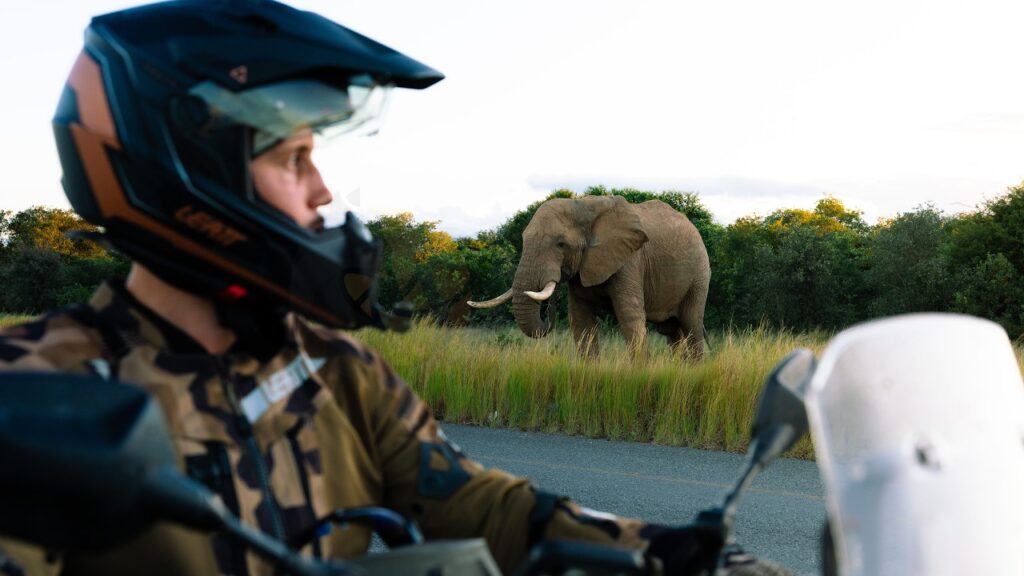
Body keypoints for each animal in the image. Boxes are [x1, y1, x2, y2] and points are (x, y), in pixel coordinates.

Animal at [468, 195, 711, 359]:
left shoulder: (630, 260)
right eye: (523, 239)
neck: (583, 206)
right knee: (671, 331)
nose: (549, 307)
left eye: (560, 244)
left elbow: (630, 318)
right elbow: (581, 321)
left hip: (700, 274)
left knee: (691, 324)